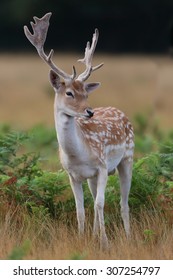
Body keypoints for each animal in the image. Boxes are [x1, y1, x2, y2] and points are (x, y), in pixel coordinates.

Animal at [23, 12, 134, 247]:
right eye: (69, 93)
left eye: (85, 92)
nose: (90, 112)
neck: (78, 154)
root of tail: (121, 111)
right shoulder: (72, 175)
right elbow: (80, 209)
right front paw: (84, 239)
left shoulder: (102, 167)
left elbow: (100, 204)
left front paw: (105, 243)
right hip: (92, 177)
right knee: (96, 201)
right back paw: (94, 235)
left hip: (127, 158)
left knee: (123, 202)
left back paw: (128, 237)